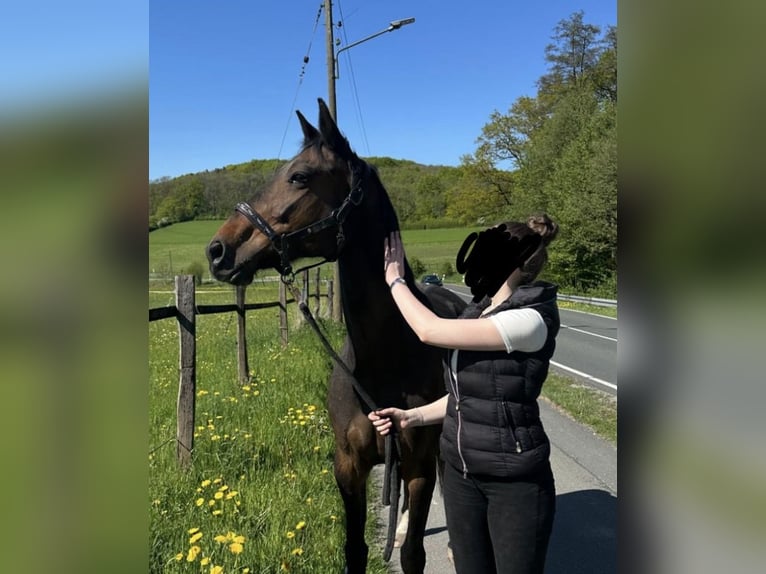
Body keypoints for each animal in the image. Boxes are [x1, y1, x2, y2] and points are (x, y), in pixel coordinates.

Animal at [206, 98, 465, 573]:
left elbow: (413, 553)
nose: (217, 251)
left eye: (299, 176)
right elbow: (355, 549)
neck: (384, 360)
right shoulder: (348, 466)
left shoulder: (418, 463)